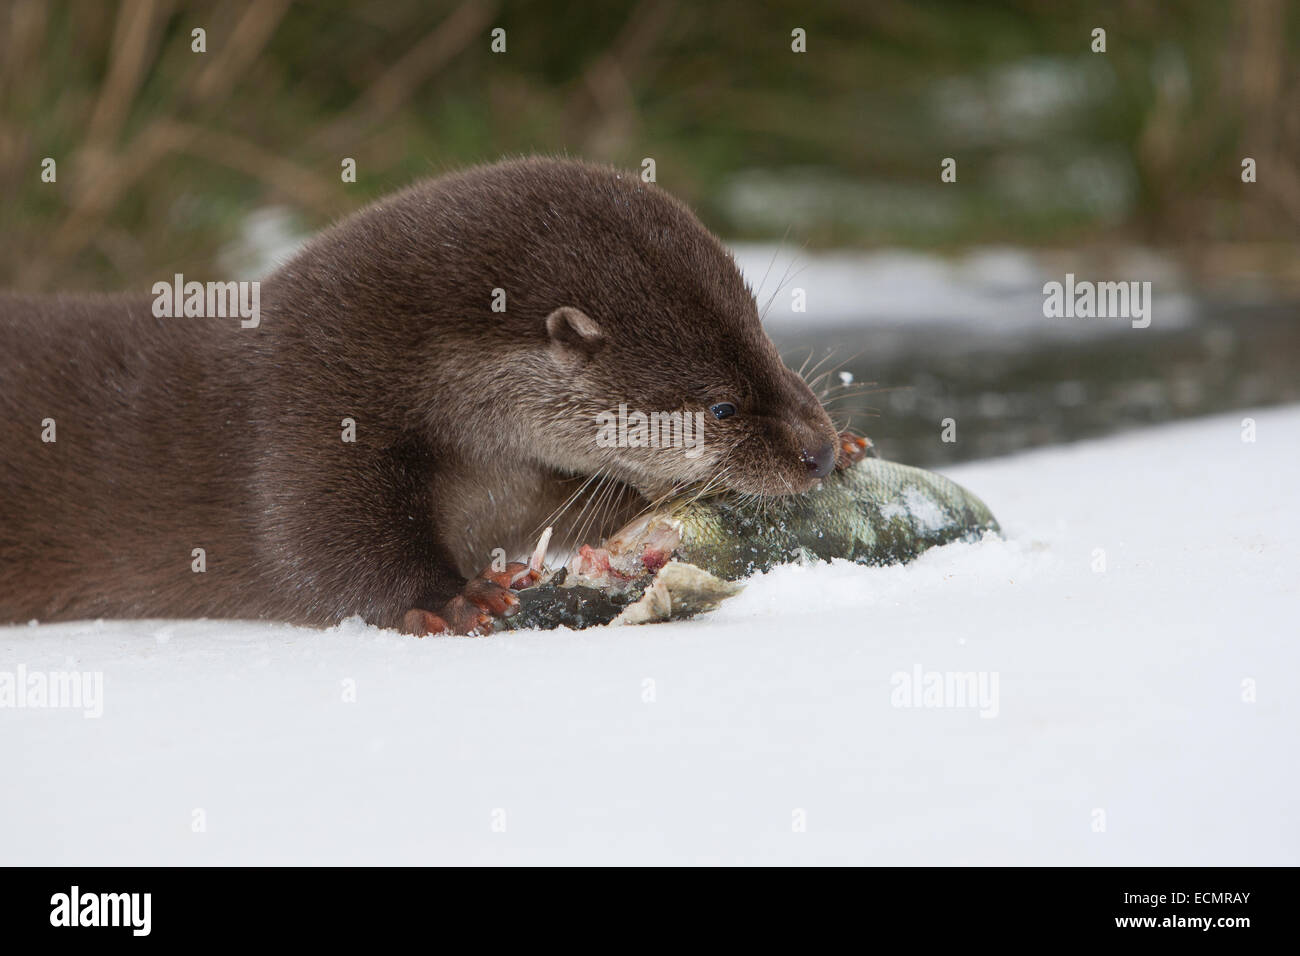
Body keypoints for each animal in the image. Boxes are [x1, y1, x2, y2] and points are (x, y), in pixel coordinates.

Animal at [0, 157, 838, 634]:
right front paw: (454, 598)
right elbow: (312, 543)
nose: (822, 451)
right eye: (722, 407)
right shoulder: (305, 419)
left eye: (769, 346)